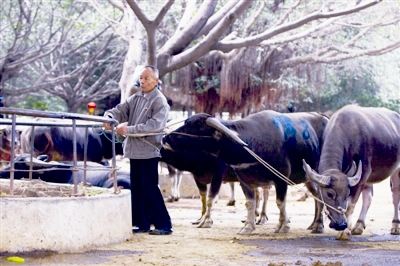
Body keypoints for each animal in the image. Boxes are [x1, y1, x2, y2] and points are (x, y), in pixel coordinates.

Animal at [162, 111, 328, 234]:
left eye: (197, 125)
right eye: (185, 122)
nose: (166, 137)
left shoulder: (280, 179)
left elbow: (280, 202)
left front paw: (283, 226)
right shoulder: (243, 181)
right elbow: (249, 203)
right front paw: (247, 226)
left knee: (319, 196)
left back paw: (318, 225)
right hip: (308, 178)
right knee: (316, 196)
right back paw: (313, 223)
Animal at [304, 105, 400, 240]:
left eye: (347, 193)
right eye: (329, 194)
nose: (340, 224)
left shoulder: (363, 173)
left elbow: (350, 205)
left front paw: (345, 232)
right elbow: (320, 201)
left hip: (396, 171)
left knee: (395, 195)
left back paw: (395, 226)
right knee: (368, 197)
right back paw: (358, 226)